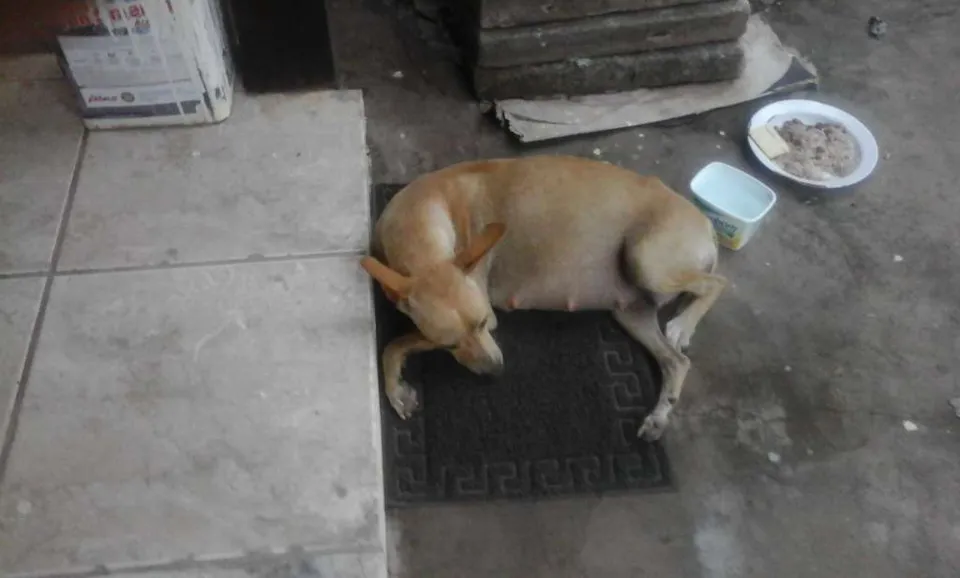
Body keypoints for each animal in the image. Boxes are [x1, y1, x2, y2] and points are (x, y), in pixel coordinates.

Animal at [361, 156, 725, 440]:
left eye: (481, 323)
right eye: (447, 345)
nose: (496, 372)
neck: (420, 217)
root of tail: (705, 221)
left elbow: (394, 343)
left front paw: (395, 388)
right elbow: (394, 345)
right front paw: (396, 390)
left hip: (647, 261)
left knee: (717, 282)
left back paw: (684, 323)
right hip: (631, 311)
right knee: (676, 361)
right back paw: (659, 416)